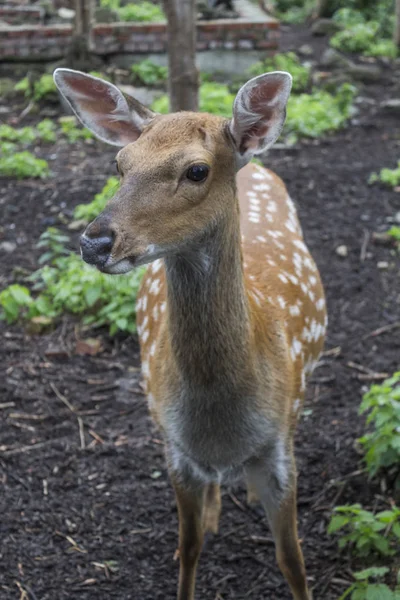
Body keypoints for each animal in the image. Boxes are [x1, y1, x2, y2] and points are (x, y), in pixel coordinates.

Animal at [54, 68, 328, 600]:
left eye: (197, 171)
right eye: (120, 164)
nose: (94, 242)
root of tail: (256, 168)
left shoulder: (280, 446)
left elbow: (293, 561)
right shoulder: (176, 449)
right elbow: (190, 547)